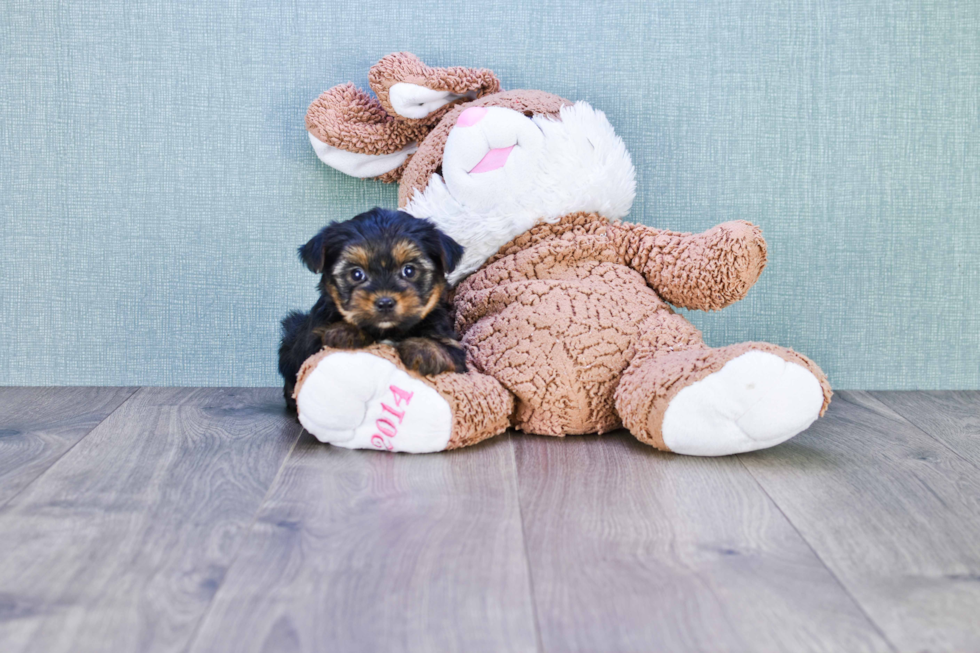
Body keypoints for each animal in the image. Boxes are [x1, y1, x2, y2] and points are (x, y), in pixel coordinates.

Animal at [278, 208, 466, 412]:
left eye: (409, 270)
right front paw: (346, 330)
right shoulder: (311, 342)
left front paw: (424, 349)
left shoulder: (454, 348)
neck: (387, 330)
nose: (385, 302)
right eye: (356, 274)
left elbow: (448, 350)